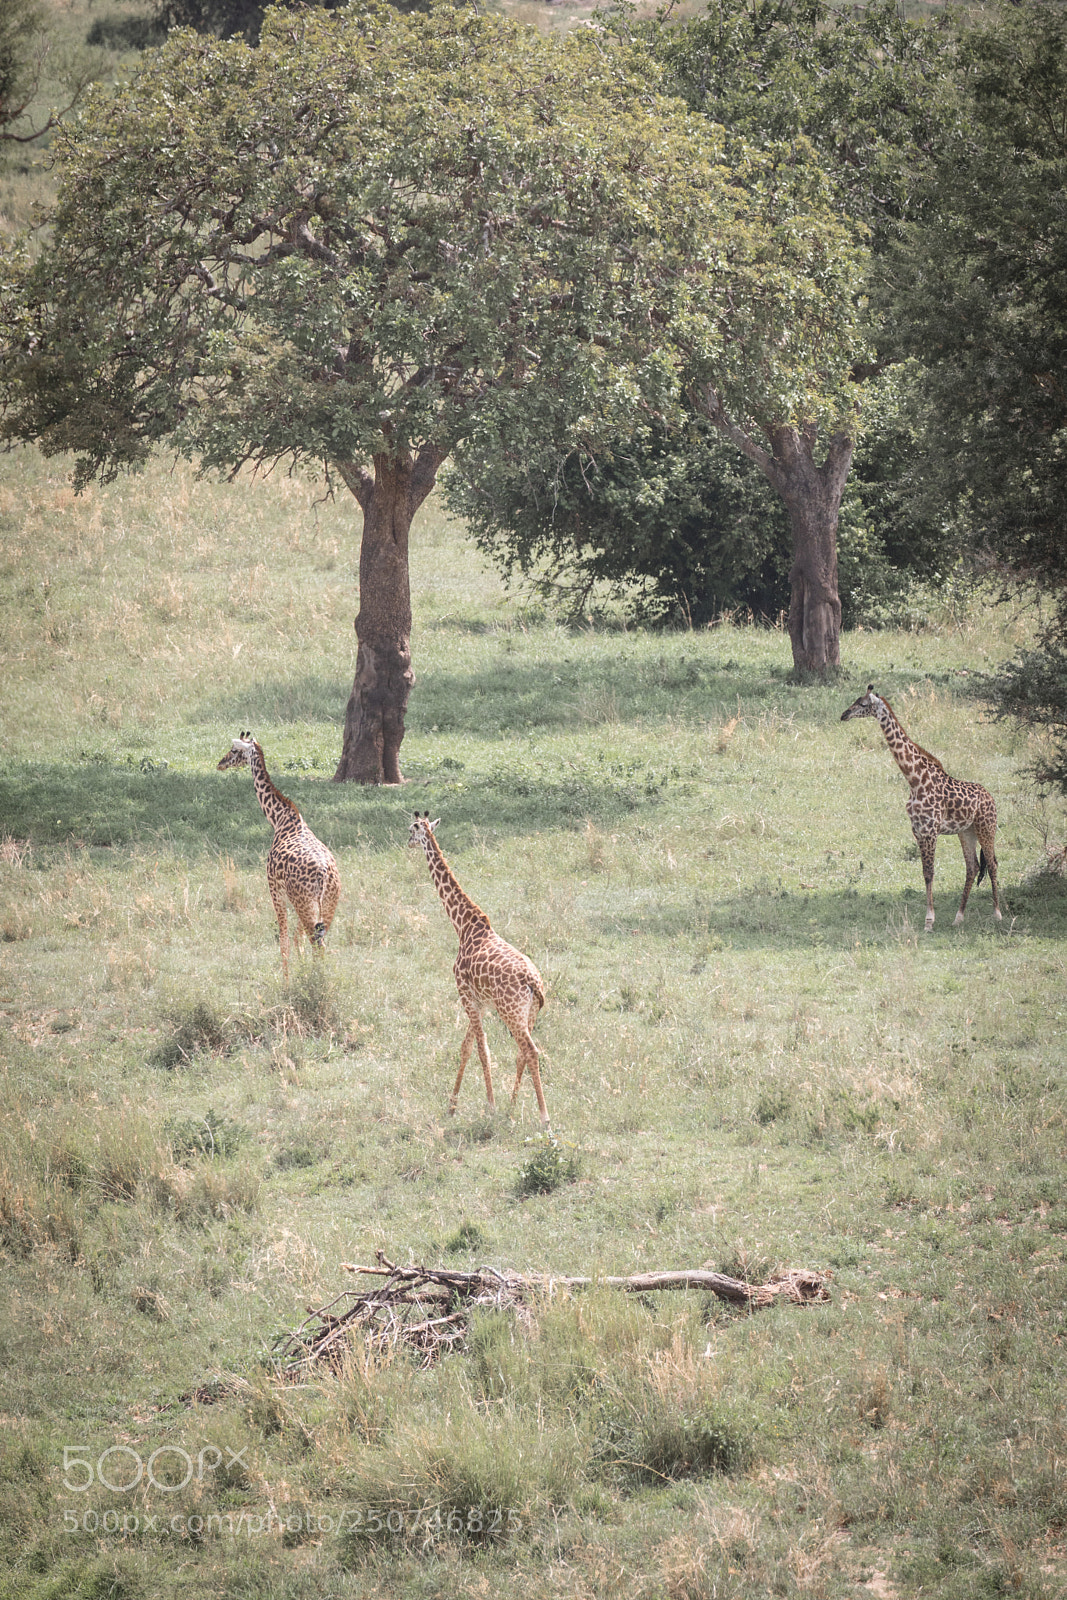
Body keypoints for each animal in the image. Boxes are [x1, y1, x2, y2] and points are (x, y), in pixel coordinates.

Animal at [217, 732, 341, 980]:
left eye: (234, 750)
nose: (220, 763)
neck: (279, 818)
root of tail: (325, 875)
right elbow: (296, 939)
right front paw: (300, 972)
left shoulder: (274, 888)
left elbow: (283, 941)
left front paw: (286, 982)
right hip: (326, 905)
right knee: (319, 941)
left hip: (305, 903)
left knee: (316, 943)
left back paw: (317, 983)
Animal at [407, 813, 550, 1126]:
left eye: (410, 830)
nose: (406, 843)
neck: (463, 924)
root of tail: (534, 984)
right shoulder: (481, 1002)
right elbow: (467, 1048)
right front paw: (452, 1106)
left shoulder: (464, 993)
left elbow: (482, 1050)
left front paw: (490, 1106)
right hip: (529, 1014)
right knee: (522, 1053)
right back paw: (512, 1108)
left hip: (511, 1013)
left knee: (531, 1051)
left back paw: (544, 1117)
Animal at [840, 686, 1002, 931]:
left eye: (863, 704)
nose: (844, 714)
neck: (914, 779)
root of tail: (991, 797)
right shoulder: (917, 830)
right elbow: (925, 872)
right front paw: (931, 920)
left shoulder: (930, 830)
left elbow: (930, 873)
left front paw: (929, 922)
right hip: (966, 831)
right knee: (972, 867)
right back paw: (958, 917)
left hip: (986, 827)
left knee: (992, 864)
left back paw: (998, 914)